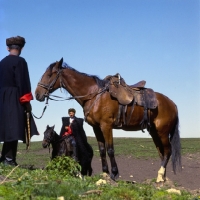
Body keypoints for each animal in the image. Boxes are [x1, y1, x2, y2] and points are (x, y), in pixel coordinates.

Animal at [34, 58, 181, 183]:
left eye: (49, 75)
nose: (37, 94)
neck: (94, 95)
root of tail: (172, 104)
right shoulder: (96, 127)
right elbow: (102, 150)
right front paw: (105, 173)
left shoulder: (106, 126)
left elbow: (110, 149)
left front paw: (114, 174)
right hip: (154, 132)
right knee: (162, 152)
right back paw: (162, 177)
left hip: (162, 132)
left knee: (168, 151)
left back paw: (160, 176)